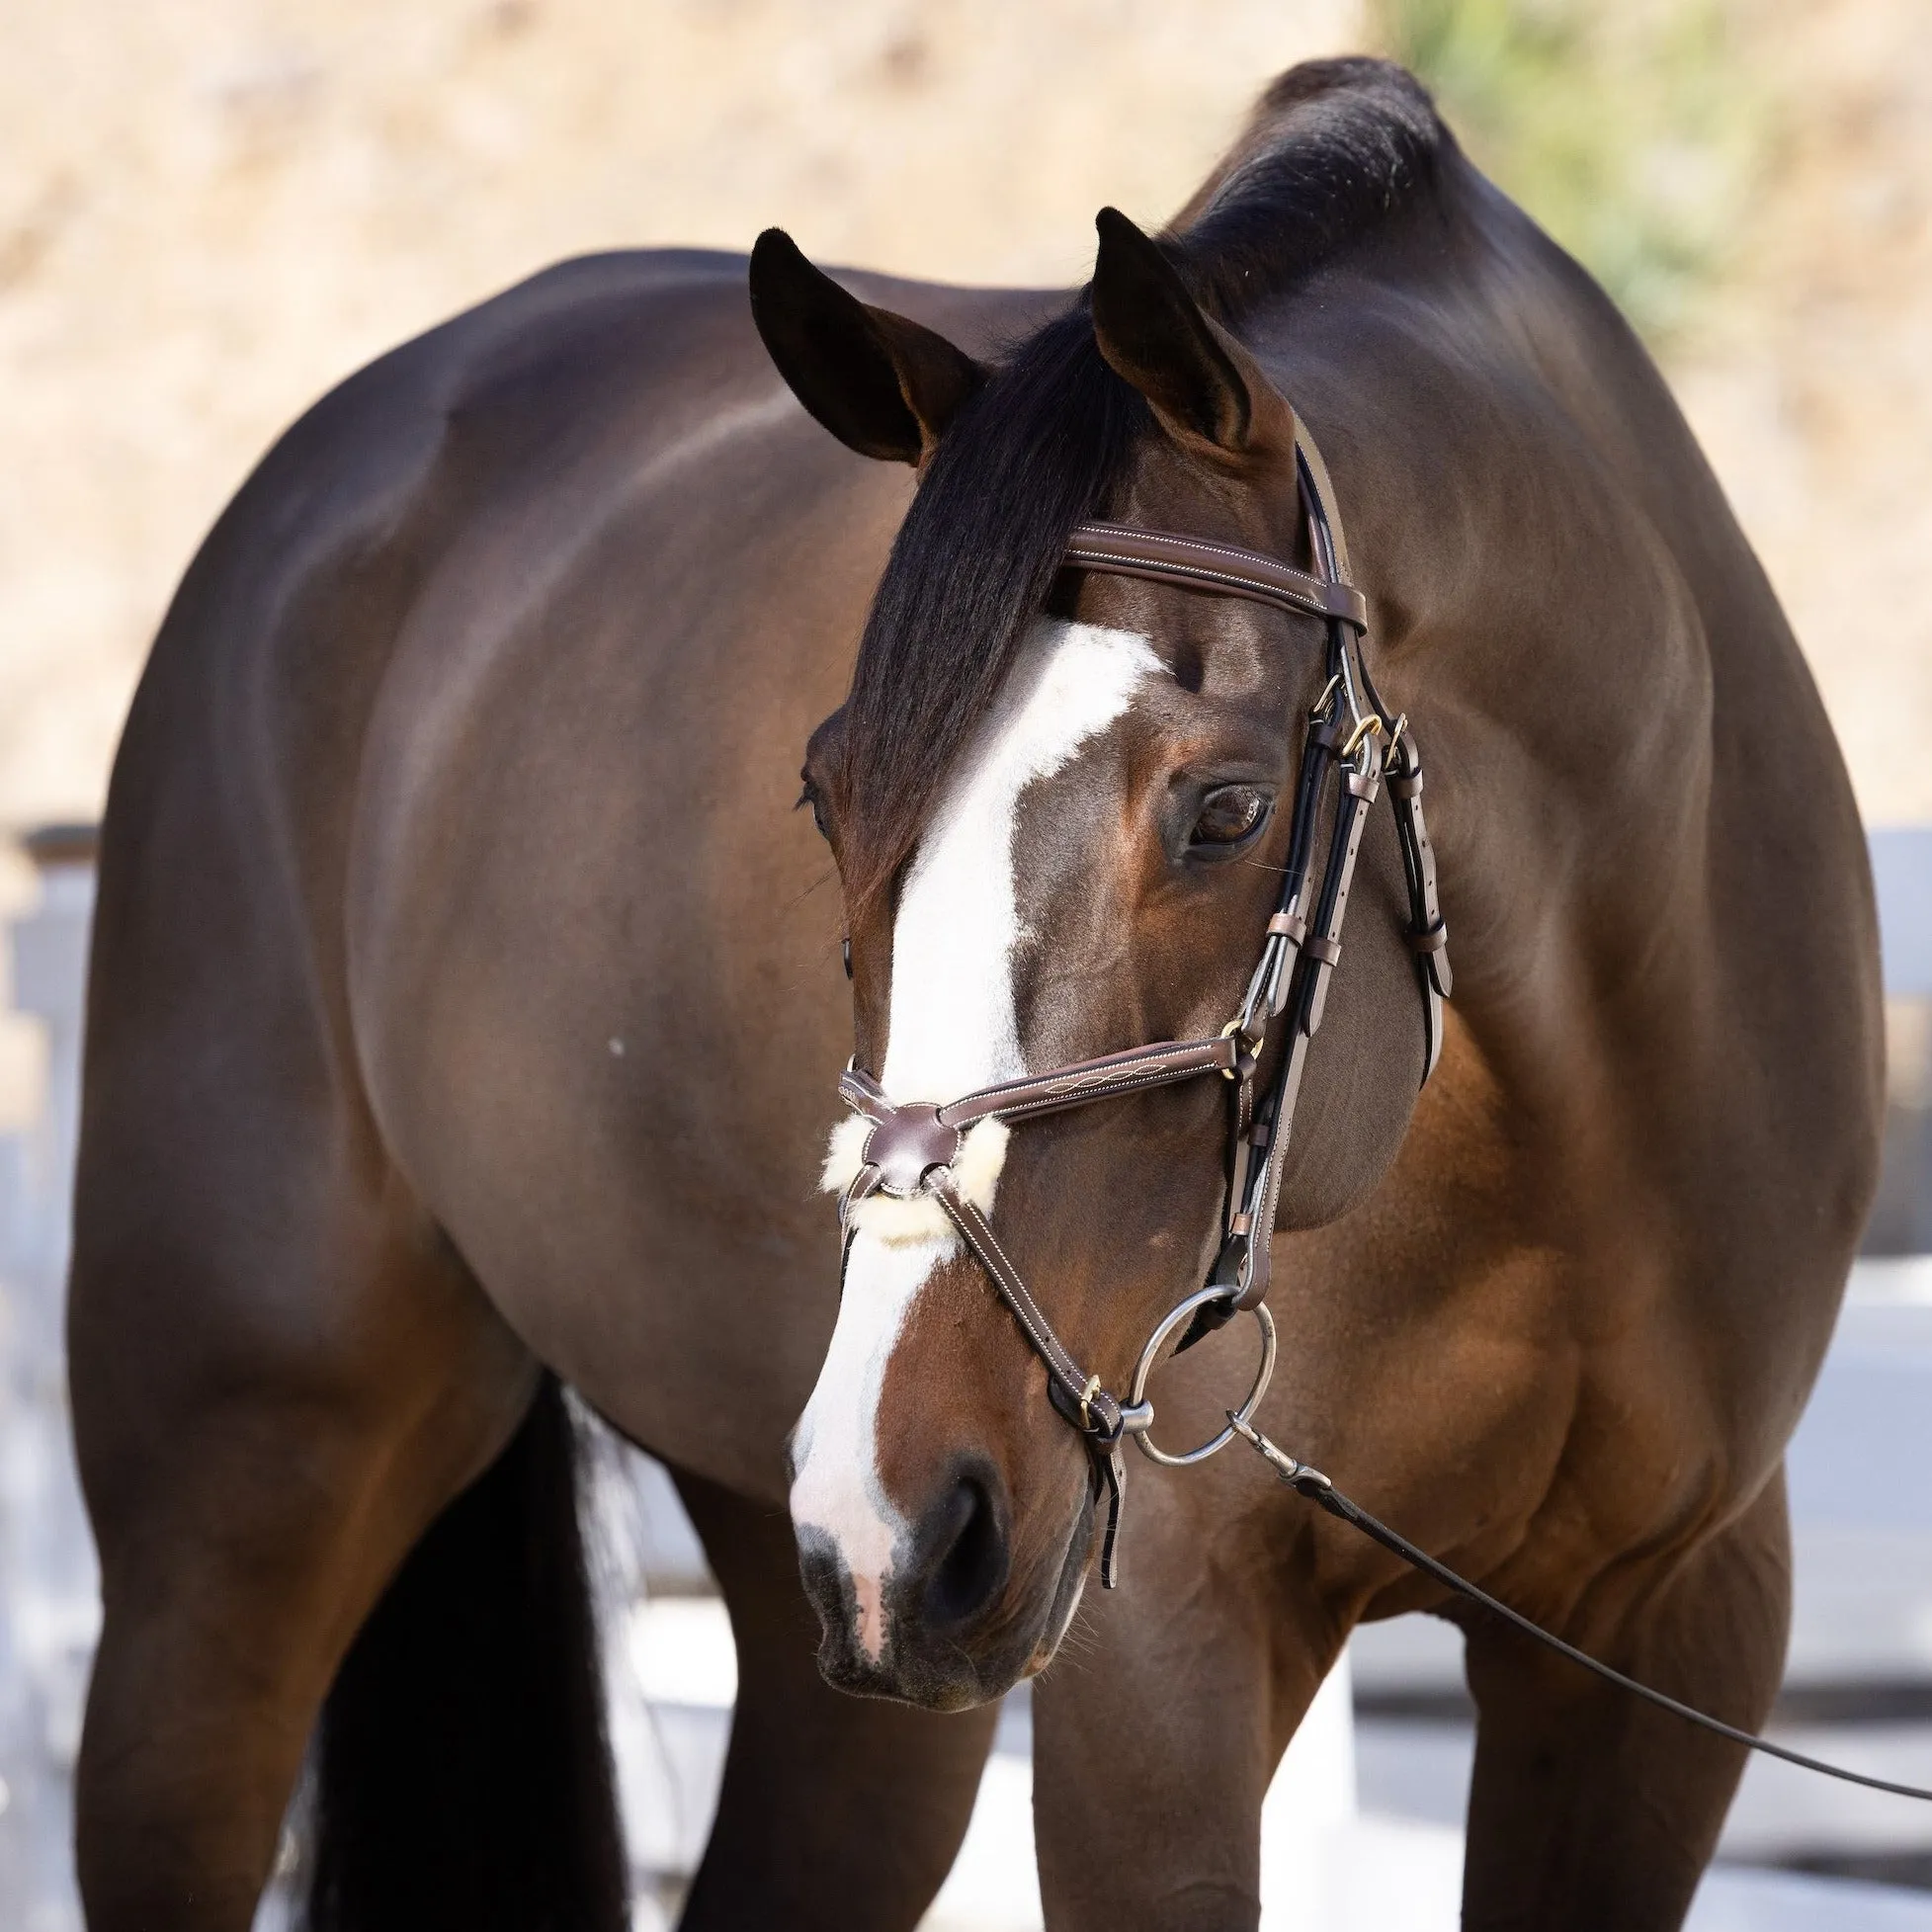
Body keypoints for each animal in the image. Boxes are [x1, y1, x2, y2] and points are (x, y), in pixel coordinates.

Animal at [67, 56, 1878, 1932]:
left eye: (1226, 809)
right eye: (826, 793)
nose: (892, 1510)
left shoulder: (1664, 1640)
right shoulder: (1157, 1668)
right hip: (249, 1509)